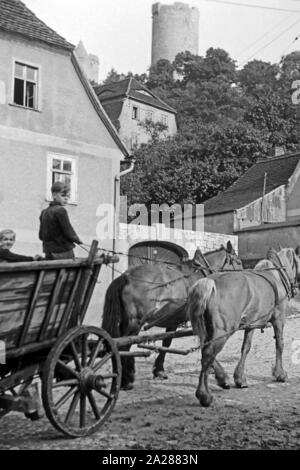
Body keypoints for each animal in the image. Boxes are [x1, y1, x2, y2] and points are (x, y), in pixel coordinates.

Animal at [102, 241, 243, 392]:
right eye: (238, 261)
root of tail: (126, 276)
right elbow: (204, 341)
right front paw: (220, 375)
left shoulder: (172, 320)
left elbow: (167, 342)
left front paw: (159, 370)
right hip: (135, 322)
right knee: (123, 346)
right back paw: (125, 380)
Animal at [186, 246, 298, 408]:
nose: (296, 289)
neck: (276, 277)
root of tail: (211, 282)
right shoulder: (279, 319)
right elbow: (279, 344)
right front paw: (280, 373)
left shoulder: (251, 324)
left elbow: (246, 348)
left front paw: (240, 378)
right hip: (223, 331)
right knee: (207, 355)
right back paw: (205, 395)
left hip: (208, 329)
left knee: (205, 350)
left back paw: (220, 379)